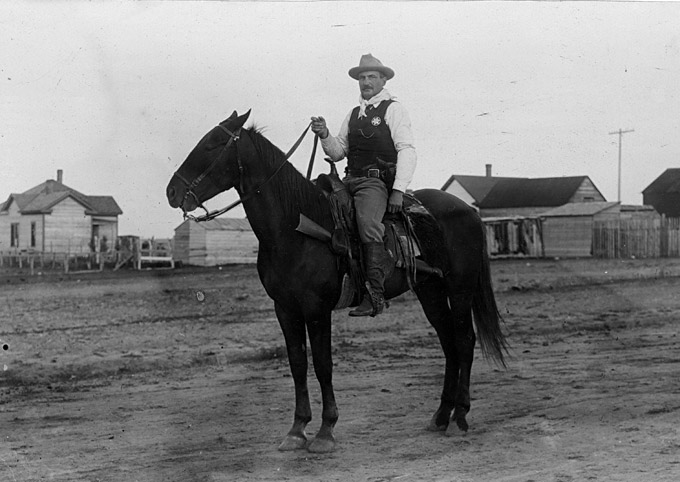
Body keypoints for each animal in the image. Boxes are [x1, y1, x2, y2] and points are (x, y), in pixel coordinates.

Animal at [166, 111, 504, 454]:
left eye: (213, 144)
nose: (172, 192)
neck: (293, 226)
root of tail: (469, 211)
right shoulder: (285, 308)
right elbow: (297, 363)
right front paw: (297, 429)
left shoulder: (316, 309)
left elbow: (322, 364)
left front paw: (326, 430)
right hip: (430, 291)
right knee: (449, 343)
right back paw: (441, 416)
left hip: (460, 289)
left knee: (464, 341)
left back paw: (460, 415)